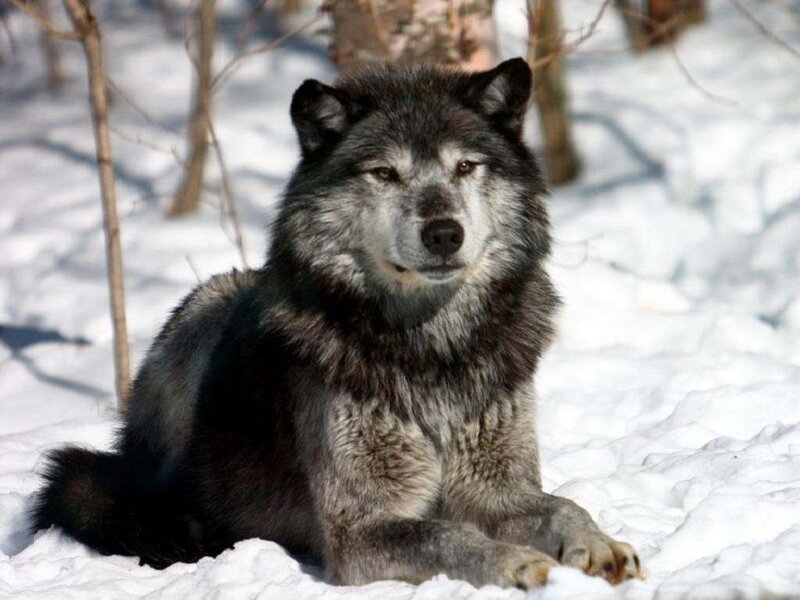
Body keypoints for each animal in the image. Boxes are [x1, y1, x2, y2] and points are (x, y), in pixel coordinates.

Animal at [32, 58, 641, 589]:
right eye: (385, 173)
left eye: (465, 167)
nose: (444, 233)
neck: (432, 349)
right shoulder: (359, 531)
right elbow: (449, 534)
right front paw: (513, 562)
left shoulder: (497, 490)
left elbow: (565, 506)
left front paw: (599, 545)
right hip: (206, 306)